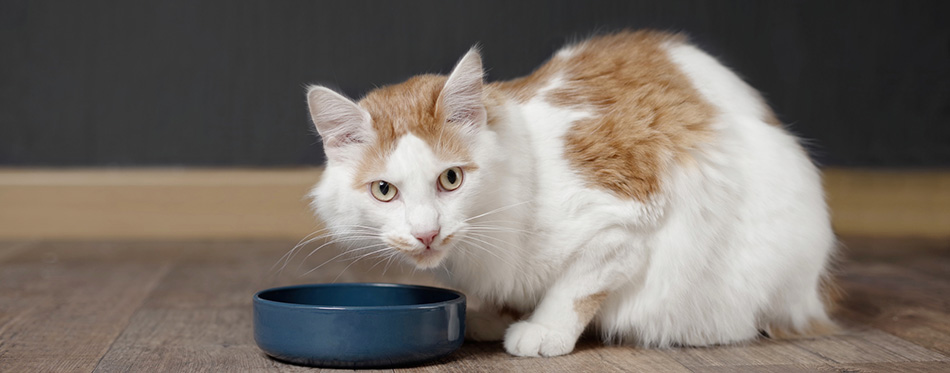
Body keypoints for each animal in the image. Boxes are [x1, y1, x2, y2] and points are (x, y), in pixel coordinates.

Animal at [306, 30, 840, 356]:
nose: (426, 234)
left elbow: (575, 286)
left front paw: (542, 330)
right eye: (383, 190)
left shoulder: (627, 218)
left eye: (451, 179)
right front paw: (495, 317)